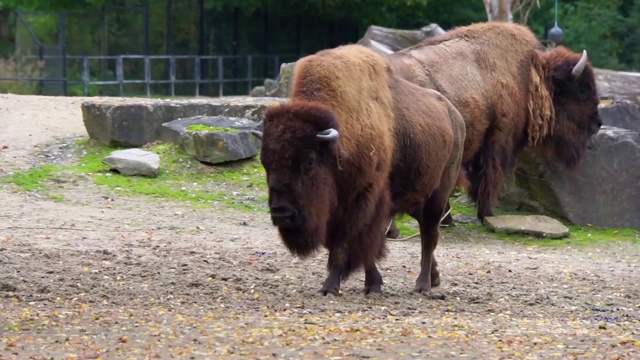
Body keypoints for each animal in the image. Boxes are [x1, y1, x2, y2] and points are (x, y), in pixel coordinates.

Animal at [250, 43, 464, 296]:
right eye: (266, 163)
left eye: (309, 162)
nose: (282, 213)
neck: (337, 147)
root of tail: (454, 115)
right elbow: (359, 248)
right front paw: (373, 284)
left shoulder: (360, 202)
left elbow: (347, 245)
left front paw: (330, 288)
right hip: (415, 198)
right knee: (425, 230)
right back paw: (434, 277)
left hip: (438, 194)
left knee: (429, 235)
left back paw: (422, 285)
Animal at [384, 21, 604, 231]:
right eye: (582, 90)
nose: (597, 124)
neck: (529, 75)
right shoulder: (497, 141)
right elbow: (489, 178)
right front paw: (488, 214)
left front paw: (449, 221)